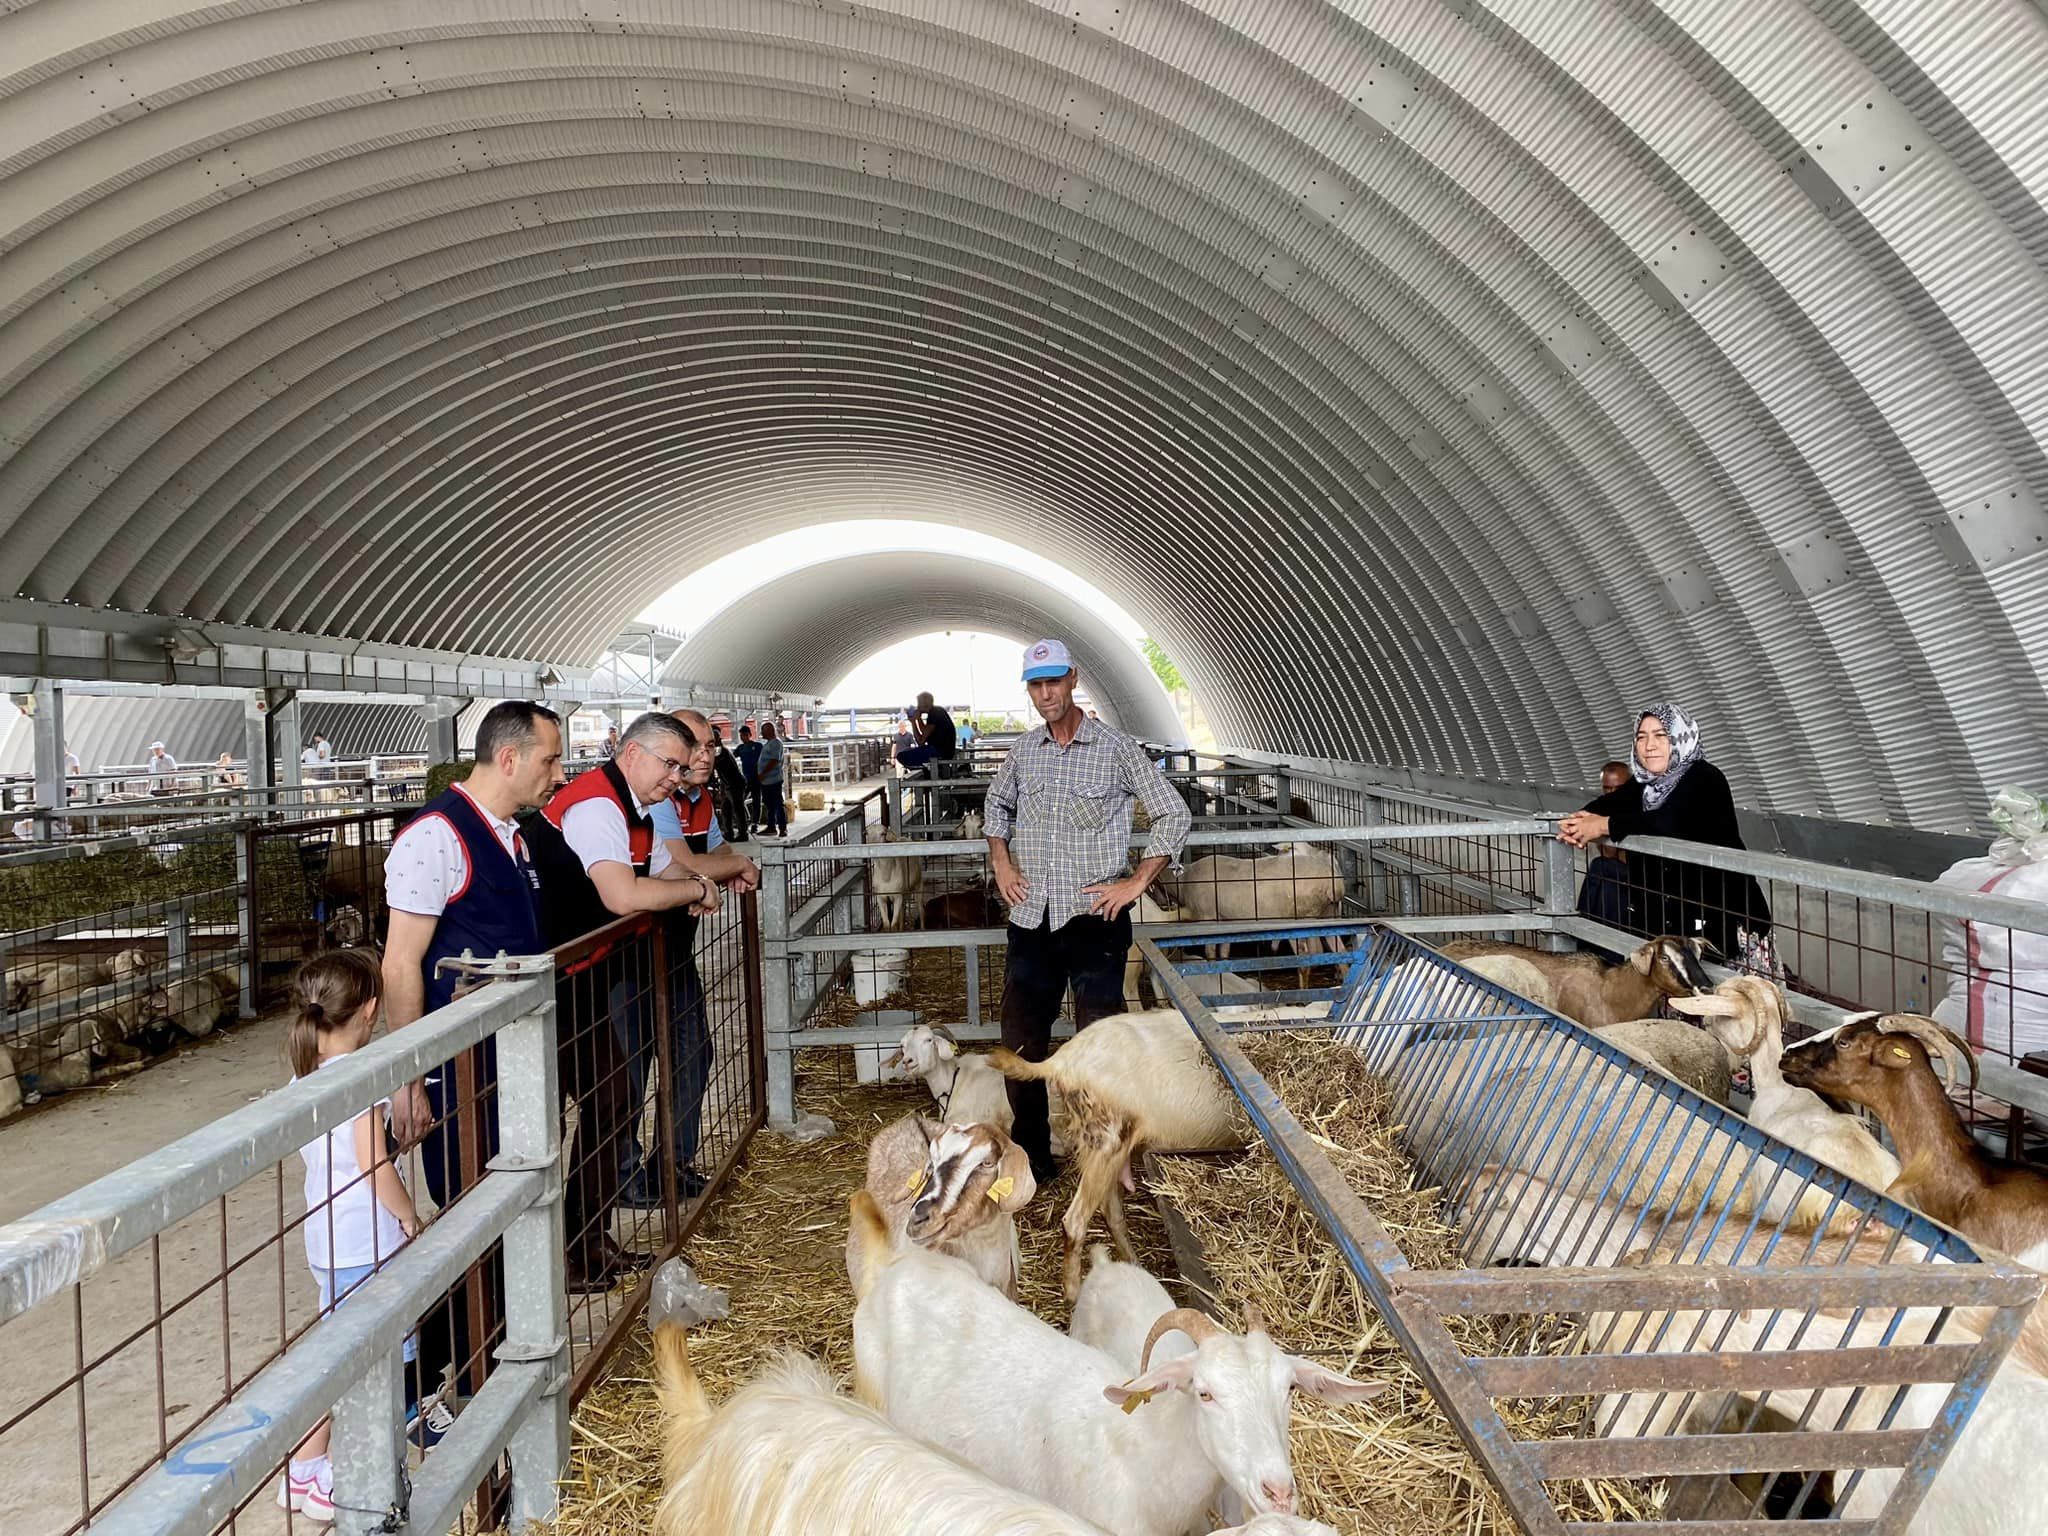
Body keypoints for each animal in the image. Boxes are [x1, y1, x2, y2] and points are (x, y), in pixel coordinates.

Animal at [991, 1009, 1250, 1300]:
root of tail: (1061, 1061)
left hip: (1105, 1147)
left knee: (1112, 1212)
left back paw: (1135, 1266)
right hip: (1107, 1140)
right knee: (1075, 1221)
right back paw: (1073, 1293)